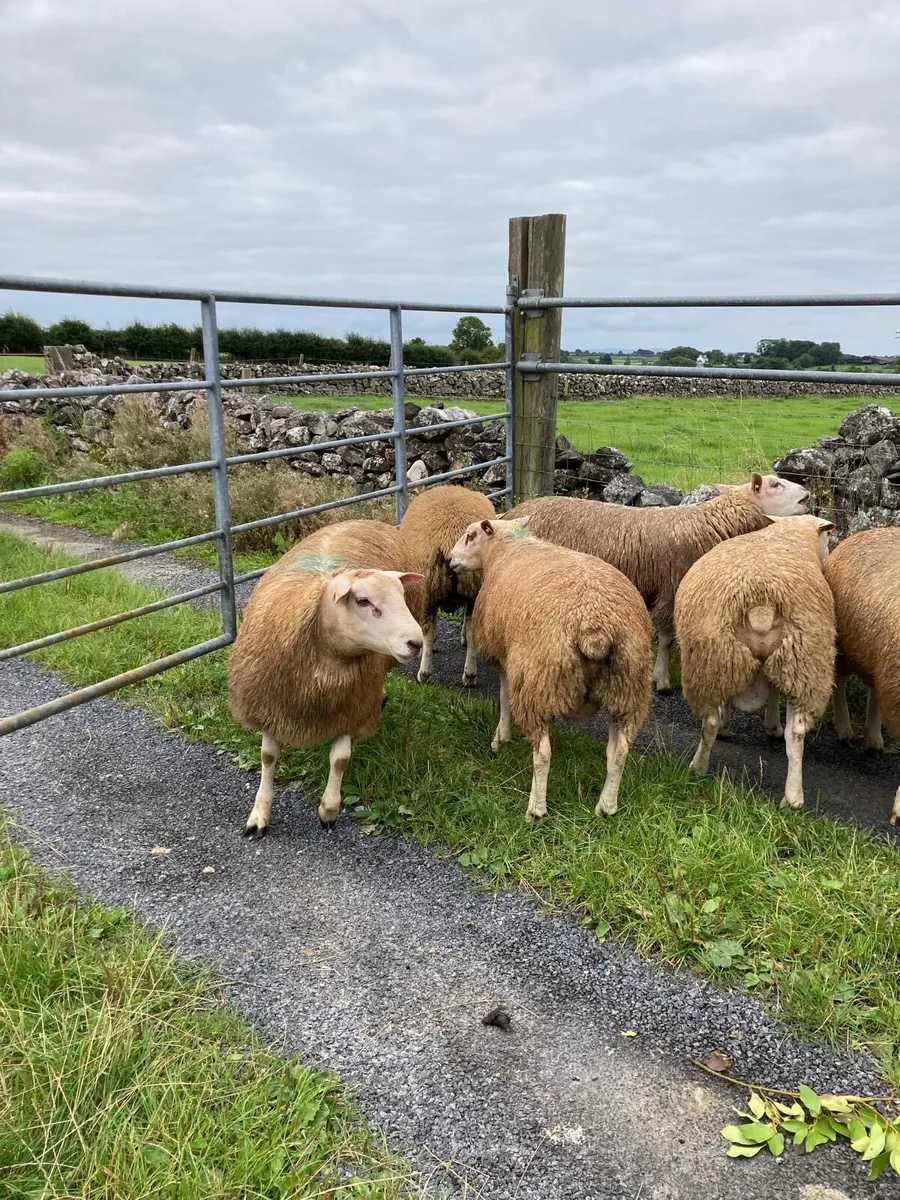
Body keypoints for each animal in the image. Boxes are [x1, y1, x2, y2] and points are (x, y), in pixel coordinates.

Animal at [227, 520, 424, 836]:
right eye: (363, 600)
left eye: (402, 597)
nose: (415, 643)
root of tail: (365, 520)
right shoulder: (269, 704)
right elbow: (268, 757)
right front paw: (259, 814)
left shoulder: (350, 707)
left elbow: (340, 759)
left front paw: (328, 810)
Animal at [399, 484, 496, 686]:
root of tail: (449, 536)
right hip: (473, 588)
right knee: (472, 629)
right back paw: (470, 675)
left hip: (428, 585)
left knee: (427, 628)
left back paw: (424, 673)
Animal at [448, 517, 652, 820]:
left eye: (470, 535)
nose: (449, 560)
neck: (506, 548)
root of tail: (595, 628)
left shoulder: (509, 659)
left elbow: (504, 697)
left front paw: (500, 739)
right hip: (627, 687)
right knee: (619, 751)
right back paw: (606, 807)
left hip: (540, 677)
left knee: (543, 752)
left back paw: (536, 809)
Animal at [505, 473, 809, 694]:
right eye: (776, 484)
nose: (807, 494)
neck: (709, 525)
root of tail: (511, 513)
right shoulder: (670, 589)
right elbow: (665, 640)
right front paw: (661, 680)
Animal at [673, 515, 836, 811]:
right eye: (826, 536)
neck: (790, 534)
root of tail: (762, 606)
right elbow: (771, 694)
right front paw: (771, 724)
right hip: (793, 661)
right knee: (789, 733)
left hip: (726, 660)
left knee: (717, 722)